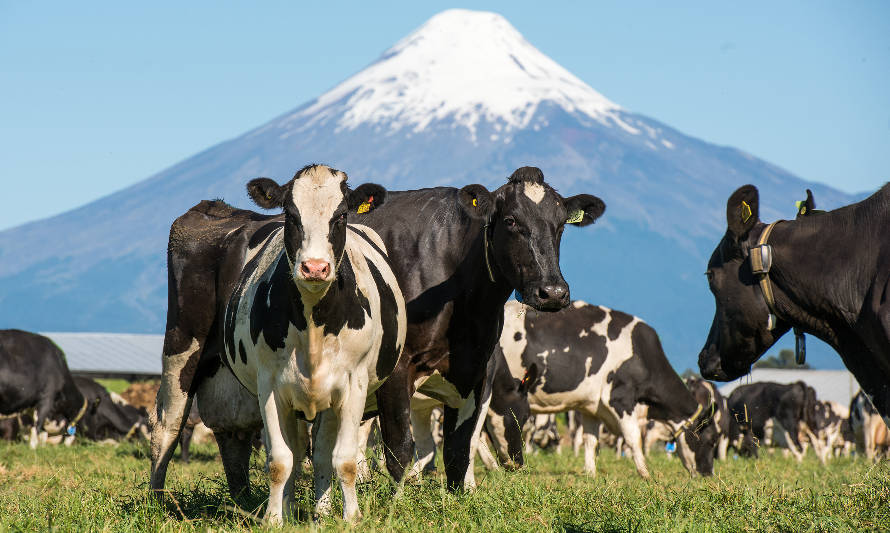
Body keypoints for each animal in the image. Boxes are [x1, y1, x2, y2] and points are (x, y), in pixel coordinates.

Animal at [490, 300, 720, 478]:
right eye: (711, 440)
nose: (708, 474)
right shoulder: (620, 400)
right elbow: (633, 438)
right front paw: (646, 474)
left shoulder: (591, 407)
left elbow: (590, 441)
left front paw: (590, 473)